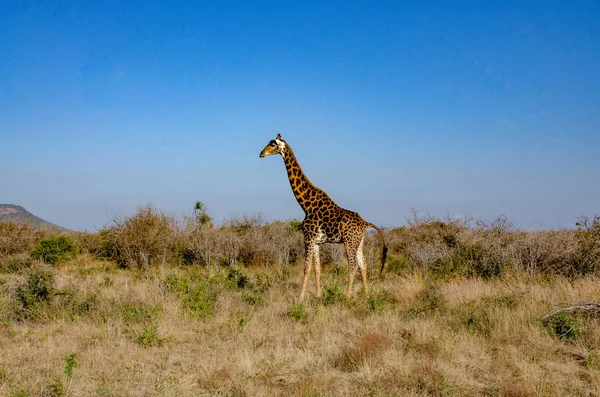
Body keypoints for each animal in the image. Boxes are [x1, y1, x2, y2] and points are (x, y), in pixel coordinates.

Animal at [258, 133, 390, 300]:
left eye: (273, 144)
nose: (261, 154)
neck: (306, 205)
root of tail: (366, 223)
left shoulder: (308, 238)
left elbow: (306, 268)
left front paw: (300, 298)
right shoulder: (316, 242)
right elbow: (317, 268)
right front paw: (318, 295)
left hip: (349, 242)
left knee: (353, 265)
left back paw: (347, 296)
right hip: (358, 242)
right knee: (363, 264)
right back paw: (366, 296)